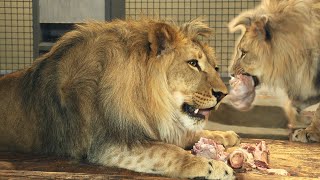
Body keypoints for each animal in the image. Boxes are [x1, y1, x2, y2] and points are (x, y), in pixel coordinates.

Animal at [0, 18, 239, 179]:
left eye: (215, 67)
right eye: (193, 64)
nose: (223, 94)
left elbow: (187, 134)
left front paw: (224, 135)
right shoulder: (107, 144)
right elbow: (167, 151)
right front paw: (212, 166)